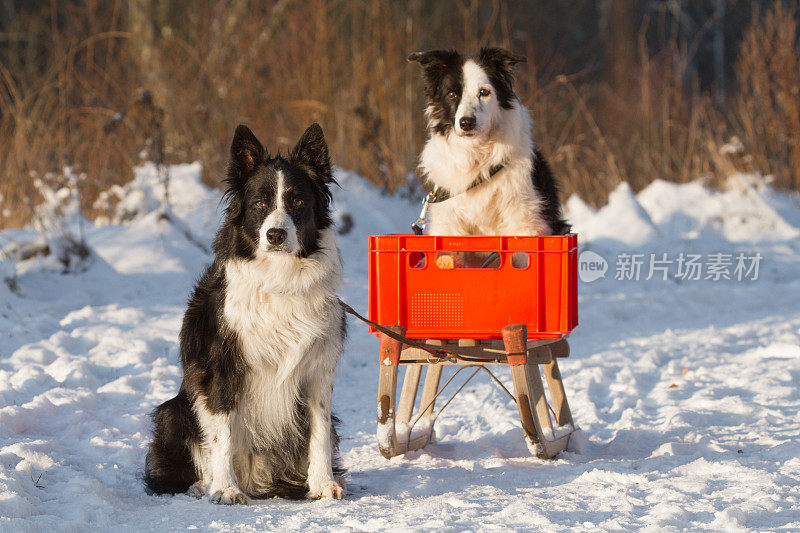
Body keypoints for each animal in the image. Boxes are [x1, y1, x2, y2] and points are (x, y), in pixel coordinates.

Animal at [145, 122, 346, 500]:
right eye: (259, 203)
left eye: (298, 201)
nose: (276, 235)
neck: (279, 279)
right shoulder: (220, 367)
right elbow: (221, 435)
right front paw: (224, 489)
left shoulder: (318, 370)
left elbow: (320, 432)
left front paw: (323, 483)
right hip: (173, 412)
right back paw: (204, 484)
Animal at [410, 47, 572, 245]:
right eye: (451, 94)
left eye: (484, 92)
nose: (466, 123)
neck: (477, 155)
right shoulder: (448, 219)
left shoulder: (524, 217)